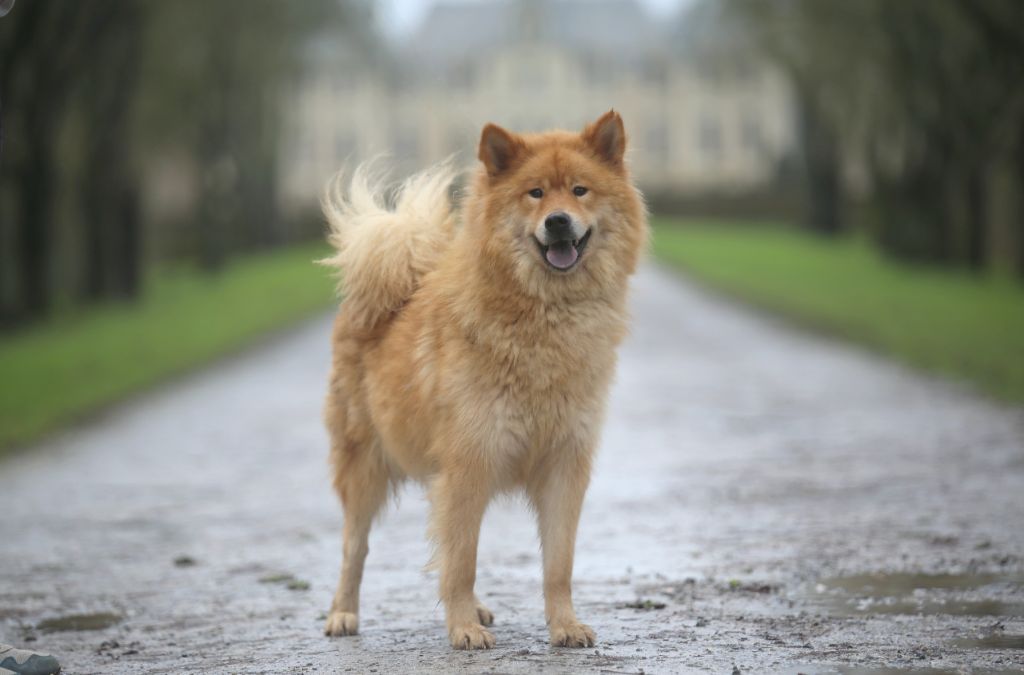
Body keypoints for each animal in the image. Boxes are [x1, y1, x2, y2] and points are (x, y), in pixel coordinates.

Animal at [317, 111, 647, 651]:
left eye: (580, 190)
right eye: (535, 193)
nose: (558, 221)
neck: (545, 318)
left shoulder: (563, 464)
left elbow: (558, 565)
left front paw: (564, 625)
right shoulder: (468, 464)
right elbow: (461, 562)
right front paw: (463, 629)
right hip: (364, 466)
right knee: (354, 549)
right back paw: (343, 614)